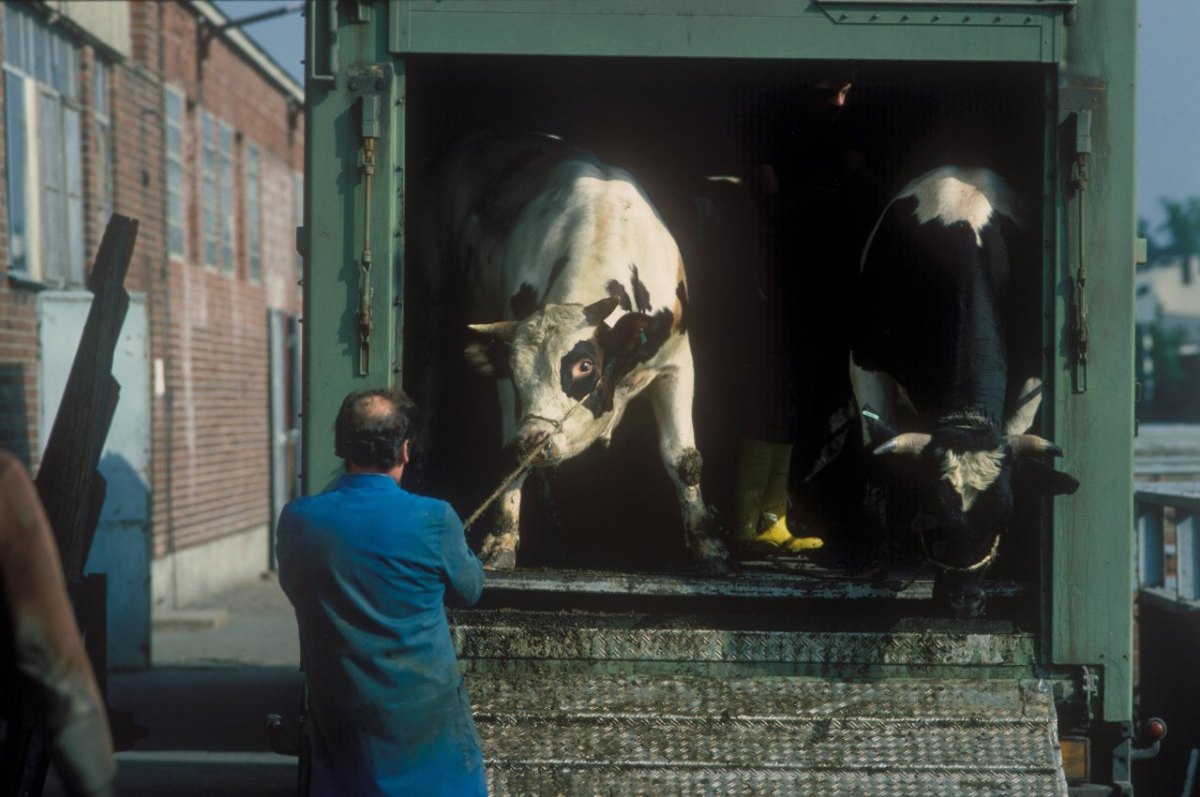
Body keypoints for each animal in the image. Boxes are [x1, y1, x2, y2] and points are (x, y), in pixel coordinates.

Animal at [412, 133, 729, 576]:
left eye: (585, 365)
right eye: (516, 370)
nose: (536, 439)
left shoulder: (678, 362)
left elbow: (683, 458)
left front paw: (709, 547)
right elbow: (511, 457)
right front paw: (500, 541)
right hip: (432, 294)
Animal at [854, 166, 1080, 614]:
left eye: (1003, 518)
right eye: (931, 514)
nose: (964, 602)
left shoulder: (1030, 379)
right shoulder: (864, 363)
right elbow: (876, 456)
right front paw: (878, 556)